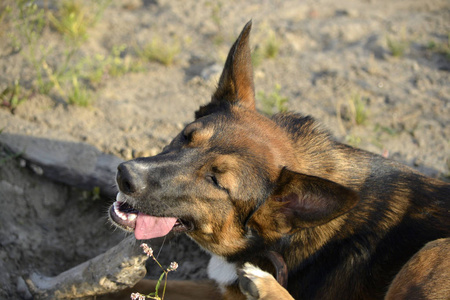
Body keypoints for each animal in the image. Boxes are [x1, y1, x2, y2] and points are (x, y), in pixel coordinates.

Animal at [109, 21, 450, 300]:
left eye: (216, 181)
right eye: (186, 136)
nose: (125, 175)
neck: (275, 242)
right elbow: (134, 286)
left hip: (431, 252)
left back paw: (265, 286)